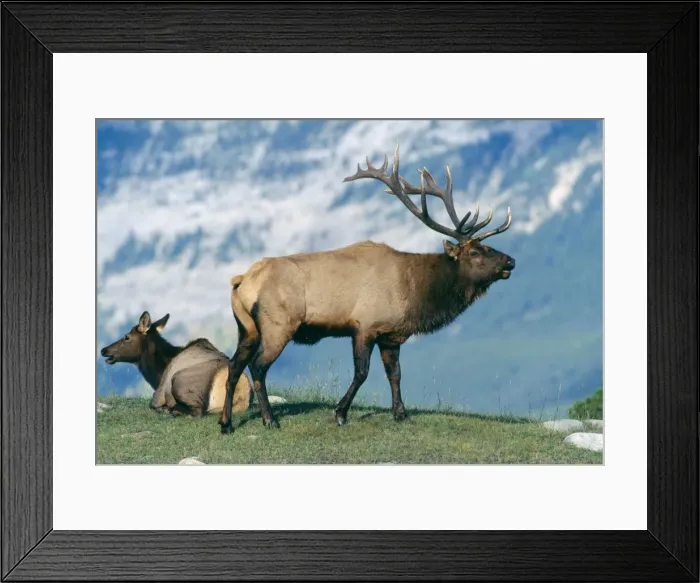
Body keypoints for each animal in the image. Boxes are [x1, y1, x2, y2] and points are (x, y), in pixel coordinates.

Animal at [100, 311, 252, 417]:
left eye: (126, 337)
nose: (104, 350)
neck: (158, 373)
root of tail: (242, 396)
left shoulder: (159, 393)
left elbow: (152, 403)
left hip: (179, 381)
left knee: (198, 411)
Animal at [218, 144, 515, 434]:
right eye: (475, 252)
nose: (510, 260)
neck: (414, 293)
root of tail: (242, 281)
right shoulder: (364, 326)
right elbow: (362, 372)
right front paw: (340, 413)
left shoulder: (390, 334)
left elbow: (395, 373)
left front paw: (400, 413)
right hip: (278, 324)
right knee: (258, 367)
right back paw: (269, 420)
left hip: (247, 328)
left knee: (233, 365)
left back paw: (226, 423)